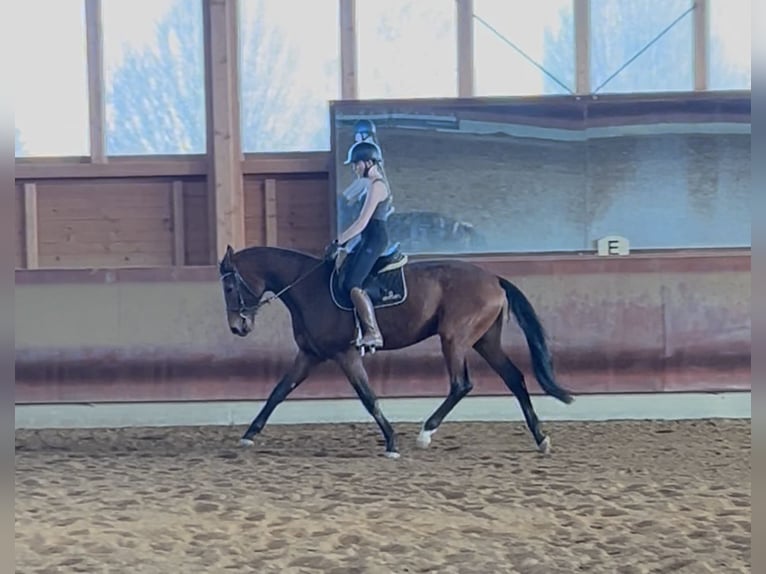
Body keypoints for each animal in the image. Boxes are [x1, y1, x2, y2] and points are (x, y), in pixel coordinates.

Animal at [218, 243, 574, 459]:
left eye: (229, 286)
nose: (237, 327)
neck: (308, 288)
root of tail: (494, 279)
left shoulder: (346, 355)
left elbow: (369, 397)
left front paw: (391, 442)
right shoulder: (310, 355)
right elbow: (278, 391)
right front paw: (249, 434)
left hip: (454, 338)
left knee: (462, 384)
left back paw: (426, 432)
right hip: (485, 341)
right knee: (515, 379)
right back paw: (540, 438)